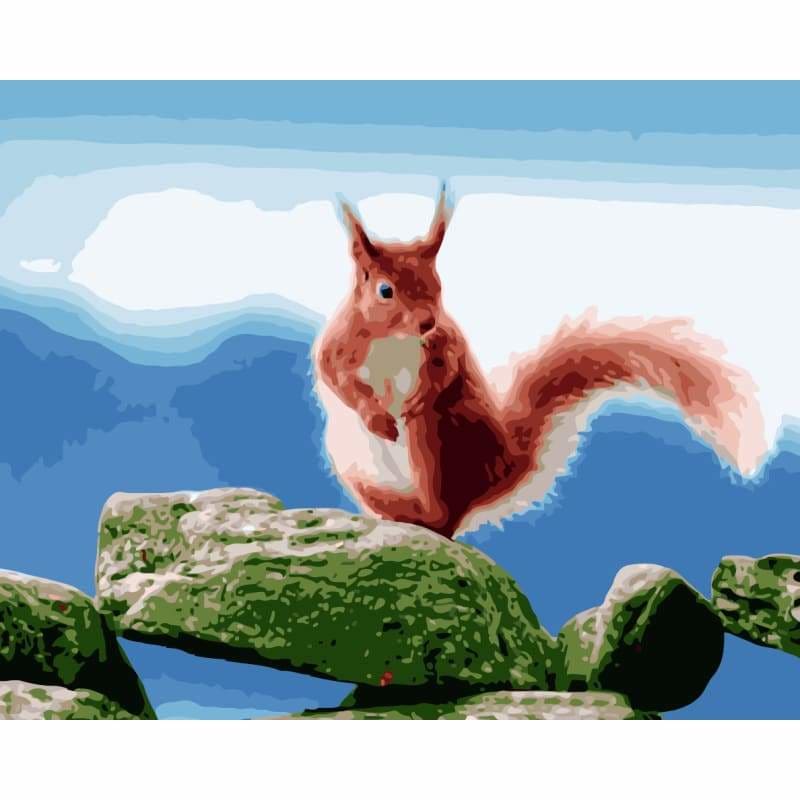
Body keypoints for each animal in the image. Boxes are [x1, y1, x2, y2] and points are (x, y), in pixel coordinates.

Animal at [313, 186, 766, 539]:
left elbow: (447, 373)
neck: (395, 340)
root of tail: (500, 471)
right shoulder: (339, 345)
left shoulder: (446, 343)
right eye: (385, 290)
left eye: (439, 285)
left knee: (442, 517)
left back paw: (412, 509)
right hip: (349, 453)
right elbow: (335, 377)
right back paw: (384, 508)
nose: (427, 322)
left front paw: (414, 400)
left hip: (437, 440)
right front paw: (375, 415)